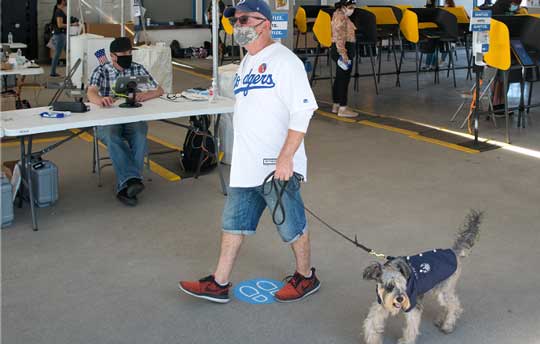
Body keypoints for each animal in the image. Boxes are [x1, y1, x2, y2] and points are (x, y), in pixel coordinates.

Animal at [360, 210, 484, 344]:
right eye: (389, 286)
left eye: (404, 284)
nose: (400, 299)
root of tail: (453, 252)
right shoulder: (381, 304)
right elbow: (371, 321)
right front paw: (372, 339)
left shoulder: (413, 306)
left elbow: (411, 327)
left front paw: (406, 341)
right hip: (440, 290)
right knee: (449, 305)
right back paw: (441, 320)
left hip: (443, 291)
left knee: (454, 305)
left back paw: (448, 325)